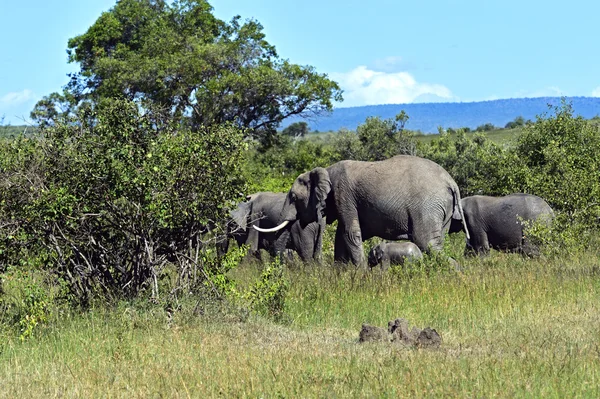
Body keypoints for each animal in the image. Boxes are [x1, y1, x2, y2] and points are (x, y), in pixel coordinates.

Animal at [253, 156, 468, 266]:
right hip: (442, 208)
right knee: (437, 243)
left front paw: (361, 273)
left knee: (427, 243)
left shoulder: (343, 194)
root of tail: (450, 182)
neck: (326, 170)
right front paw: (342, 273)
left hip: (427, 207)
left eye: (293, 197)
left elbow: (351, 233)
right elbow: (342, 236)